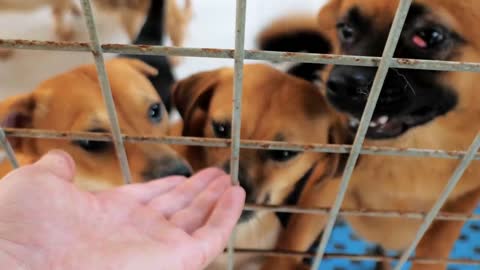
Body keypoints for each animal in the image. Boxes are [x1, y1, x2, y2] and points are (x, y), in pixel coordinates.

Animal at [258, 0, 480, 270]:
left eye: (428, 36)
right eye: (346, 30)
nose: (341, 85)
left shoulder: (463, 202)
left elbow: (434, 248)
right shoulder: (326, 186)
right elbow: (292, 241)